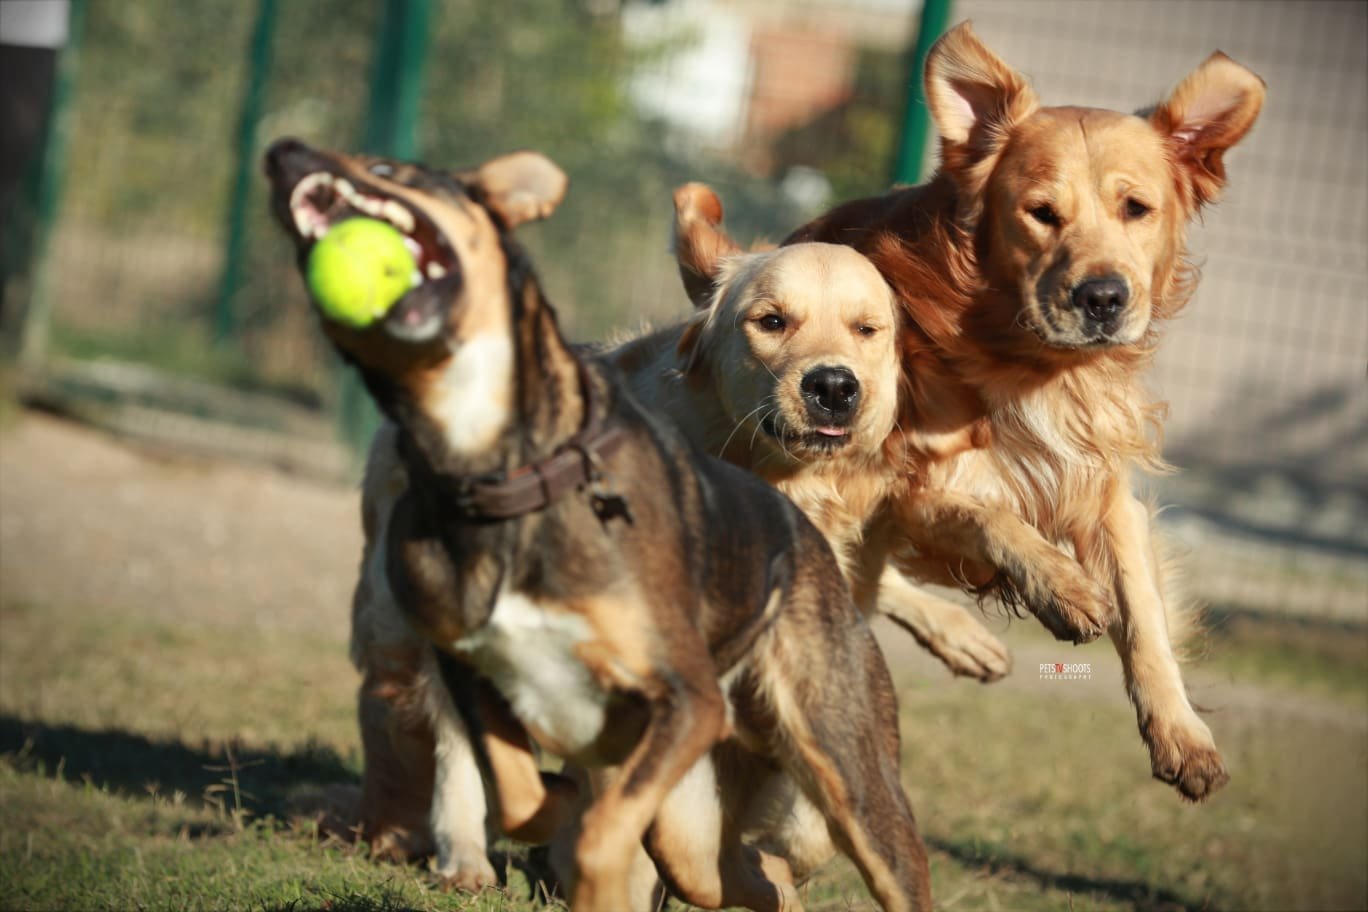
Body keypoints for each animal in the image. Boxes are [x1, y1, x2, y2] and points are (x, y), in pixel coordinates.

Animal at [262, 139, 935, 907]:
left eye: (867, 330)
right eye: (770, 321)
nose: (833, 387)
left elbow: (800, 825)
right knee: (456, 741)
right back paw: (461, 853)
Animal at [787, 23, 1264, 798]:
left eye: (1136, 209)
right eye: (1042, 214)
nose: (1103, 298)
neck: (1033, 368)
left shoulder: (1102, 487)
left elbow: (1144, 611)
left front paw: (1181, 734)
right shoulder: (907, 488)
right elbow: (991, 515)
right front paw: (1064, 588)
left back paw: (963, 638)